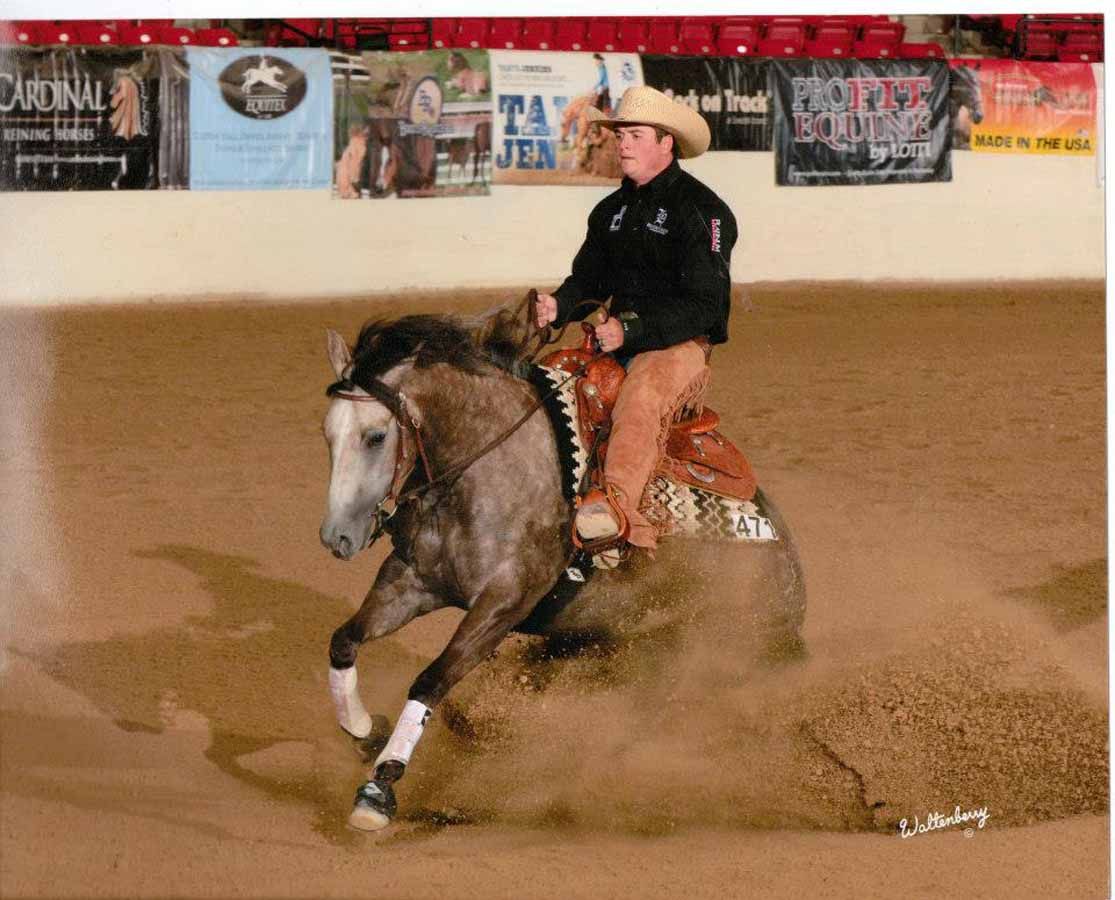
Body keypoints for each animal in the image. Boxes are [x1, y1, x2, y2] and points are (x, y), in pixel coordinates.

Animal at [319, 300, 806, 830]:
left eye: (375, 436)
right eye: (327, 434)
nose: (336, 537)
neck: (490, 468)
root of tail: (790, 567)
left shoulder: (502, 604)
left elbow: (431, 681)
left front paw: (378, 791)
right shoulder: (411, 581)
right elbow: (343, 641)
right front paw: (365, 730)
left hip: (699, 654)